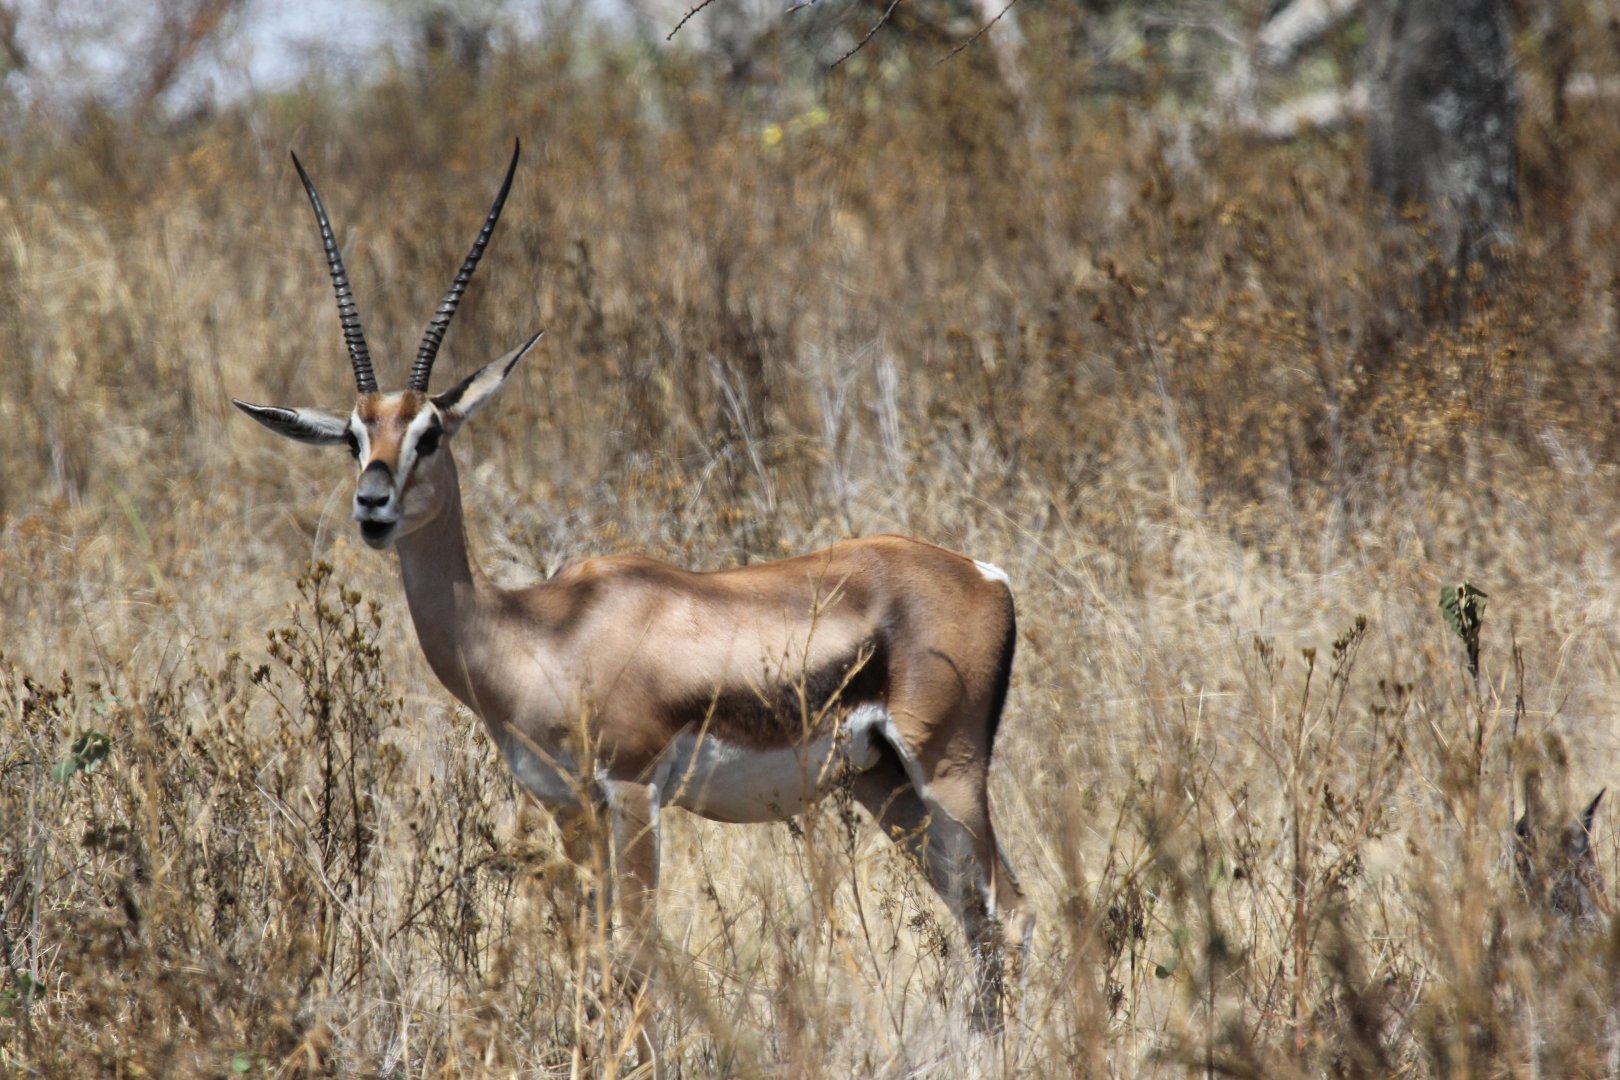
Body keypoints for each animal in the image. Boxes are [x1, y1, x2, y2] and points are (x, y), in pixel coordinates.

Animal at [232, 142, 1033, 1048]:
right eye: (353, 434)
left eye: (430, 432)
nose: (373, 505)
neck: (534, 632)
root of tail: (983, 573)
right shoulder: (569, 809)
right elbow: (592, 954)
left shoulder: (633, 792)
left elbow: (637, 949)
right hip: (885, 786)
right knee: (972, 913)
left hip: (949, 772)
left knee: (1012, 911)